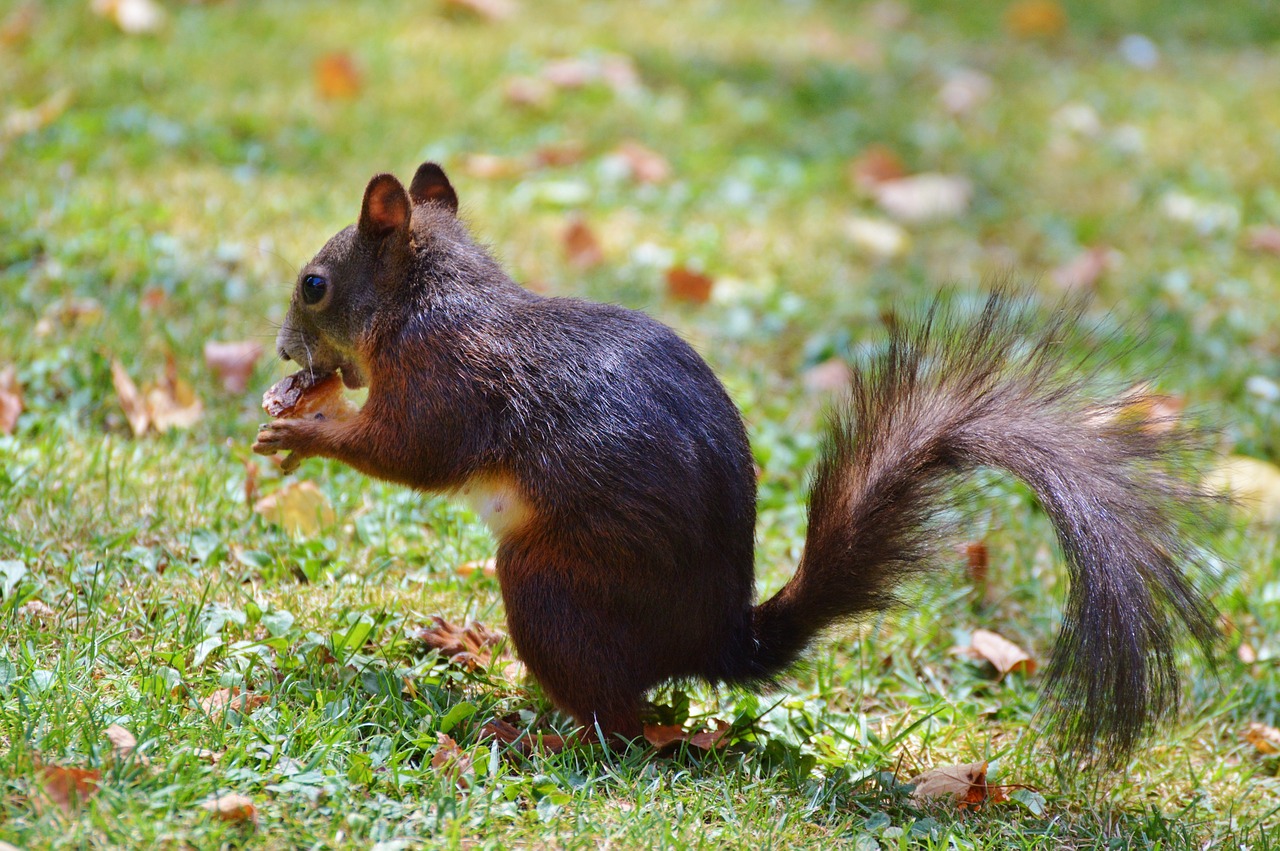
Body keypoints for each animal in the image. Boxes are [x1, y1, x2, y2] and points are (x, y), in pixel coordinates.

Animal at [252, 161, 1218, 757]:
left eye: (314, 285)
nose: (284, 351)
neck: (430, 299)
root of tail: (719, 639)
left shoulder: (446, 381)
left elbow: (407, 454)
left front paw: (303, 431)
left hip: (552, 582)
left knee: (621, 723)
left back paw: (535, 733)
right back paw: (475, 651)